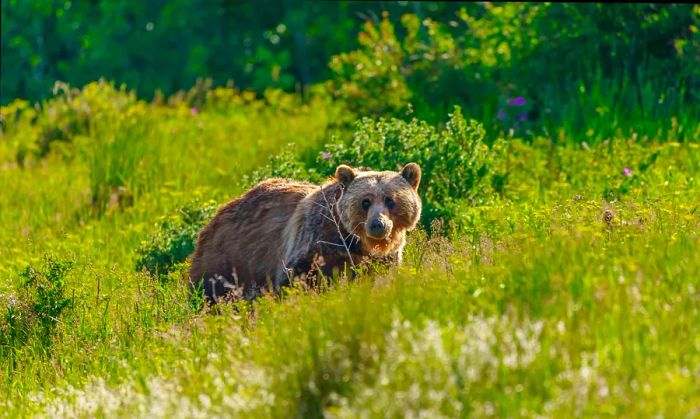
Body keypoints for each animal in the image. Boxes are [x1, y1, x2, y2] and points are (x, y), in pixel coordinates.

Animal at [187, 162, 422, 304]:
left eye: (390, 200)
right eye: (365, 201)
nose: (377, 225)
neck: (353, 242)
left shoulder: (381, 259)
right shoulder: (315, 241)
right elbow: (294, 277)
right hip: (229, 257)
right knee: (211, 290)